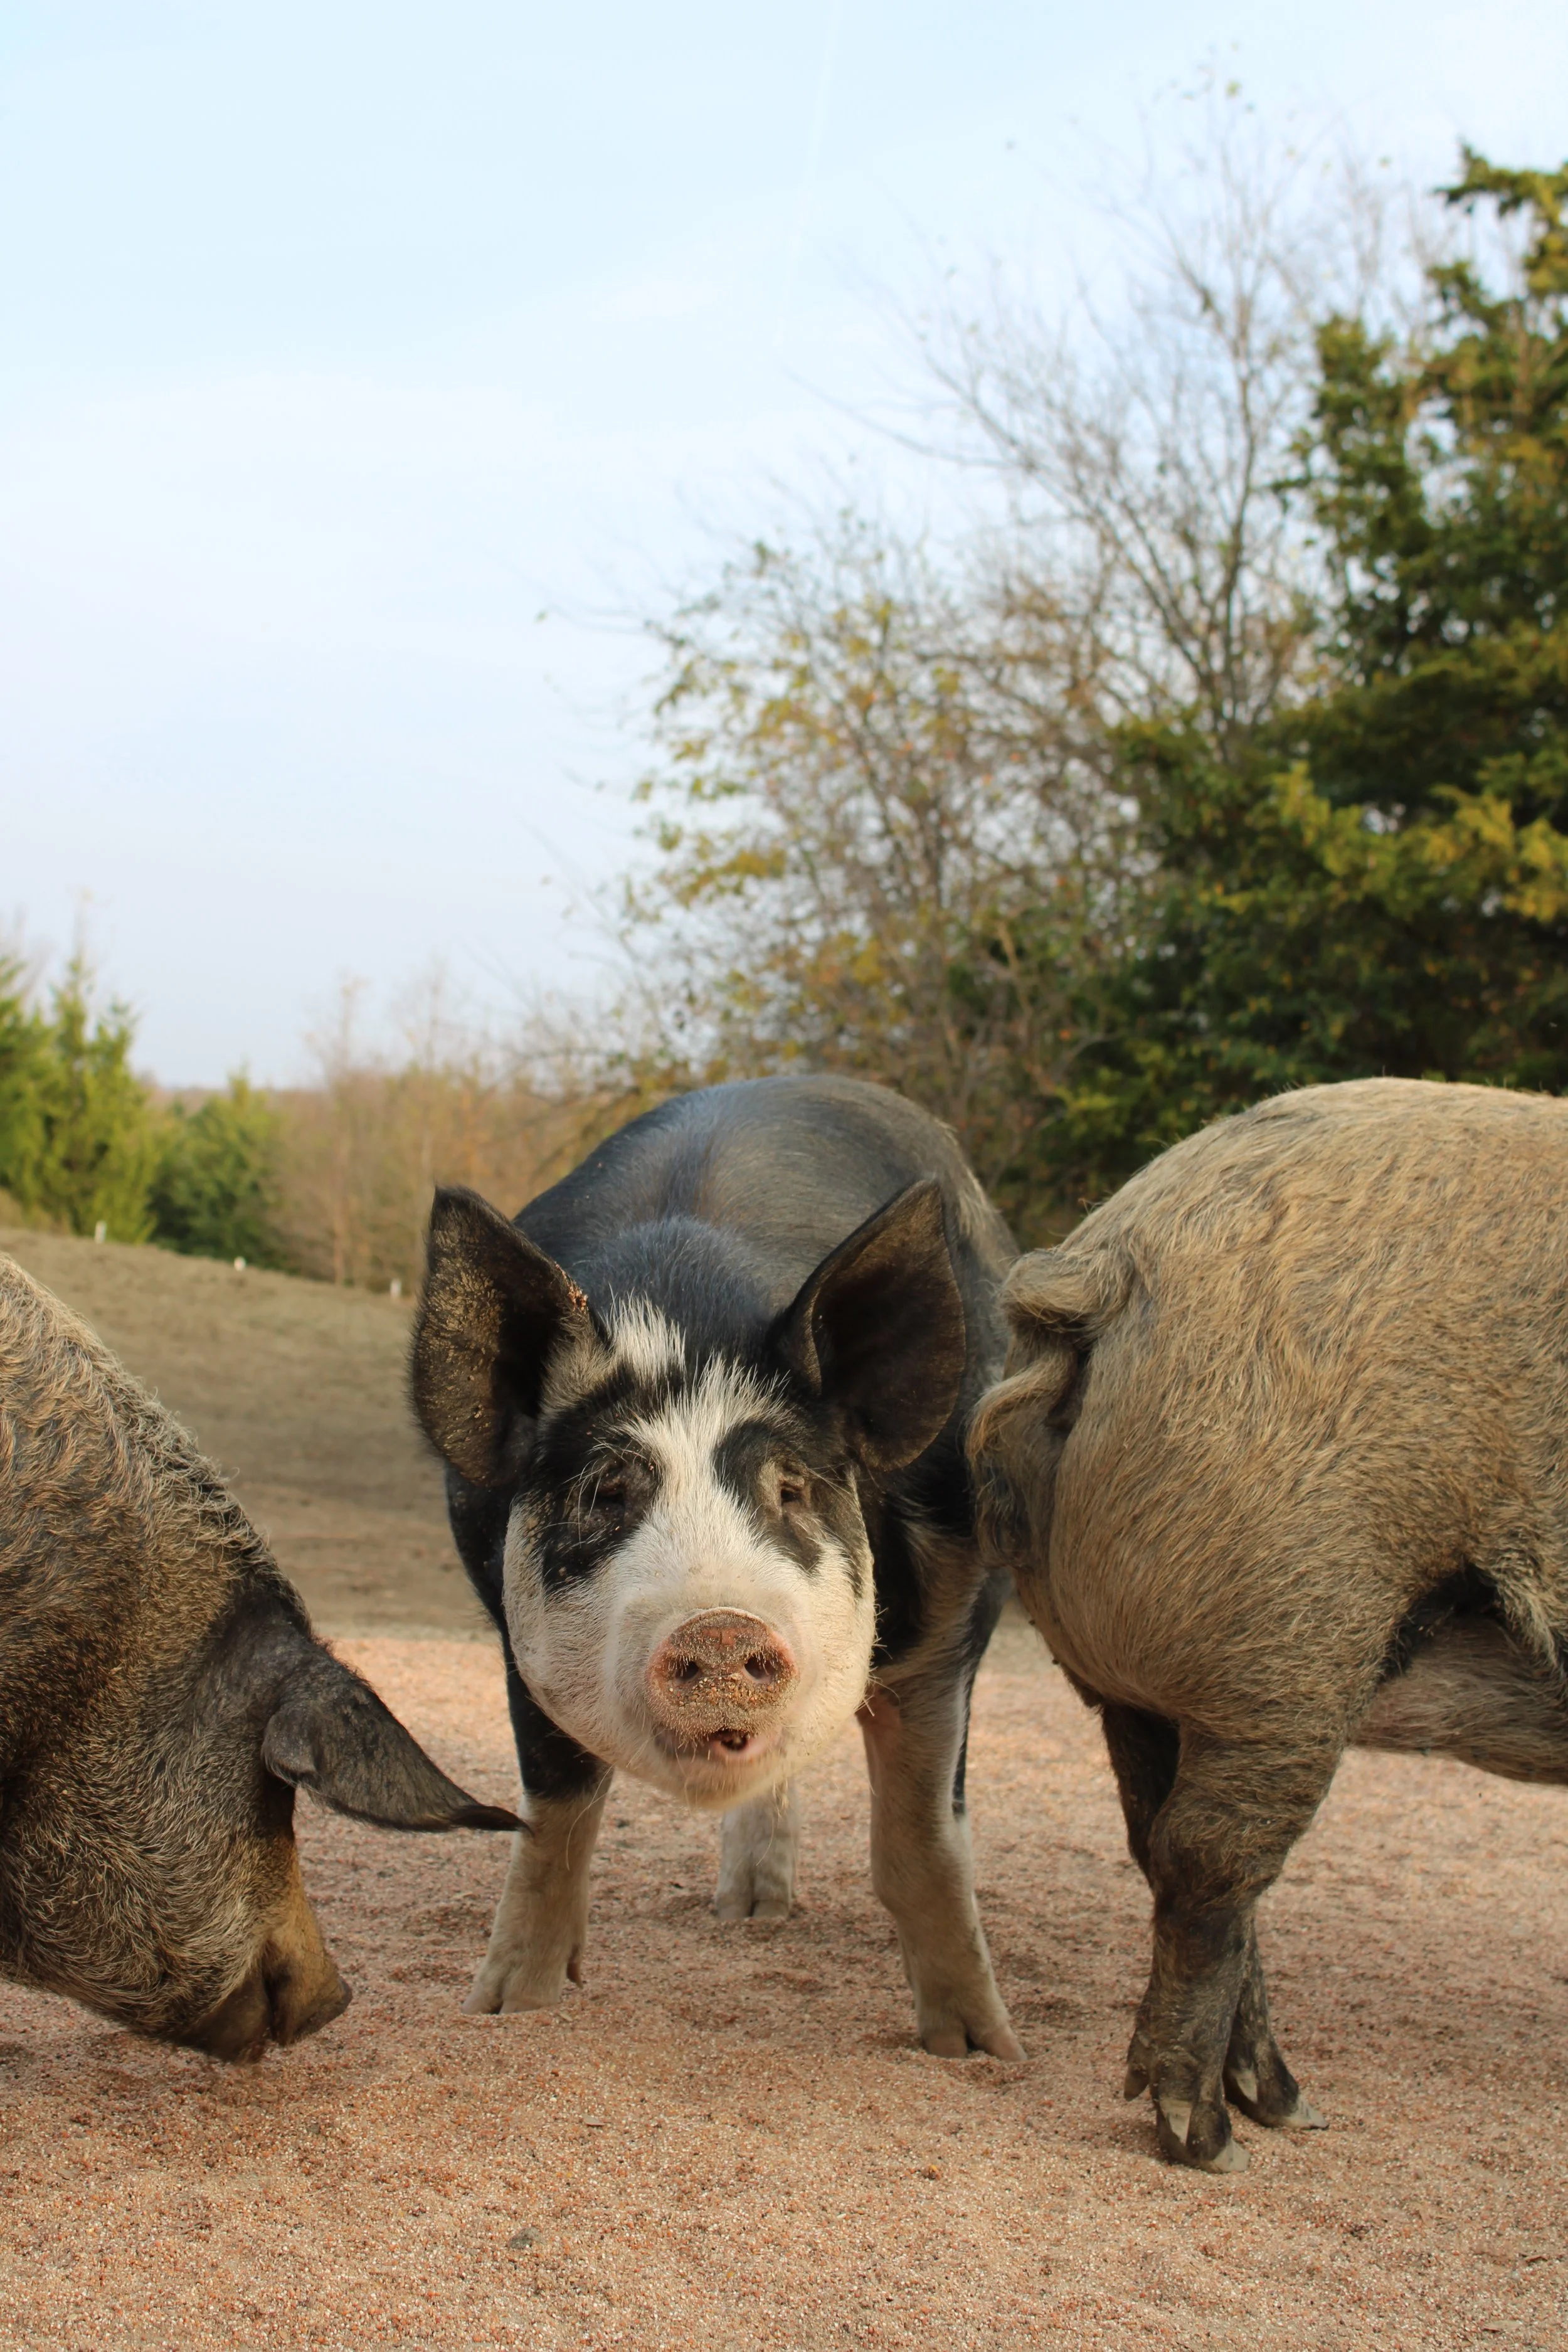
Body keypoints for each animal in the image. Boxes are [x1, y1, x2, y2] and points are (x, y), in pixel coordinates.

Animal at [409, 1075, 1023, 2057]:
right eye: (607, 1492)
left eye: (793, 1488)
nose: (721, 1626)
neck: (685, 1319)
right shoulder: (515, 1631)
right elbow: (555, 1819)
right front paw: (505, 2011)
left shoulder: (953, 1610)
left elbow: (922, 1841)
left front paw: (980, 2051)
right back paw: (746, 1914)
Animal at [969, 1078, 1568, 2171]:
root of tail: (1105, 1264)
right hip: (1288, 1645)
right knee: (1209, 1862)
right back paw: (1216, 2138)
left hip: (1141, 1683)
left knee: (1164, 1849)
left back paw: (1281, 2105)